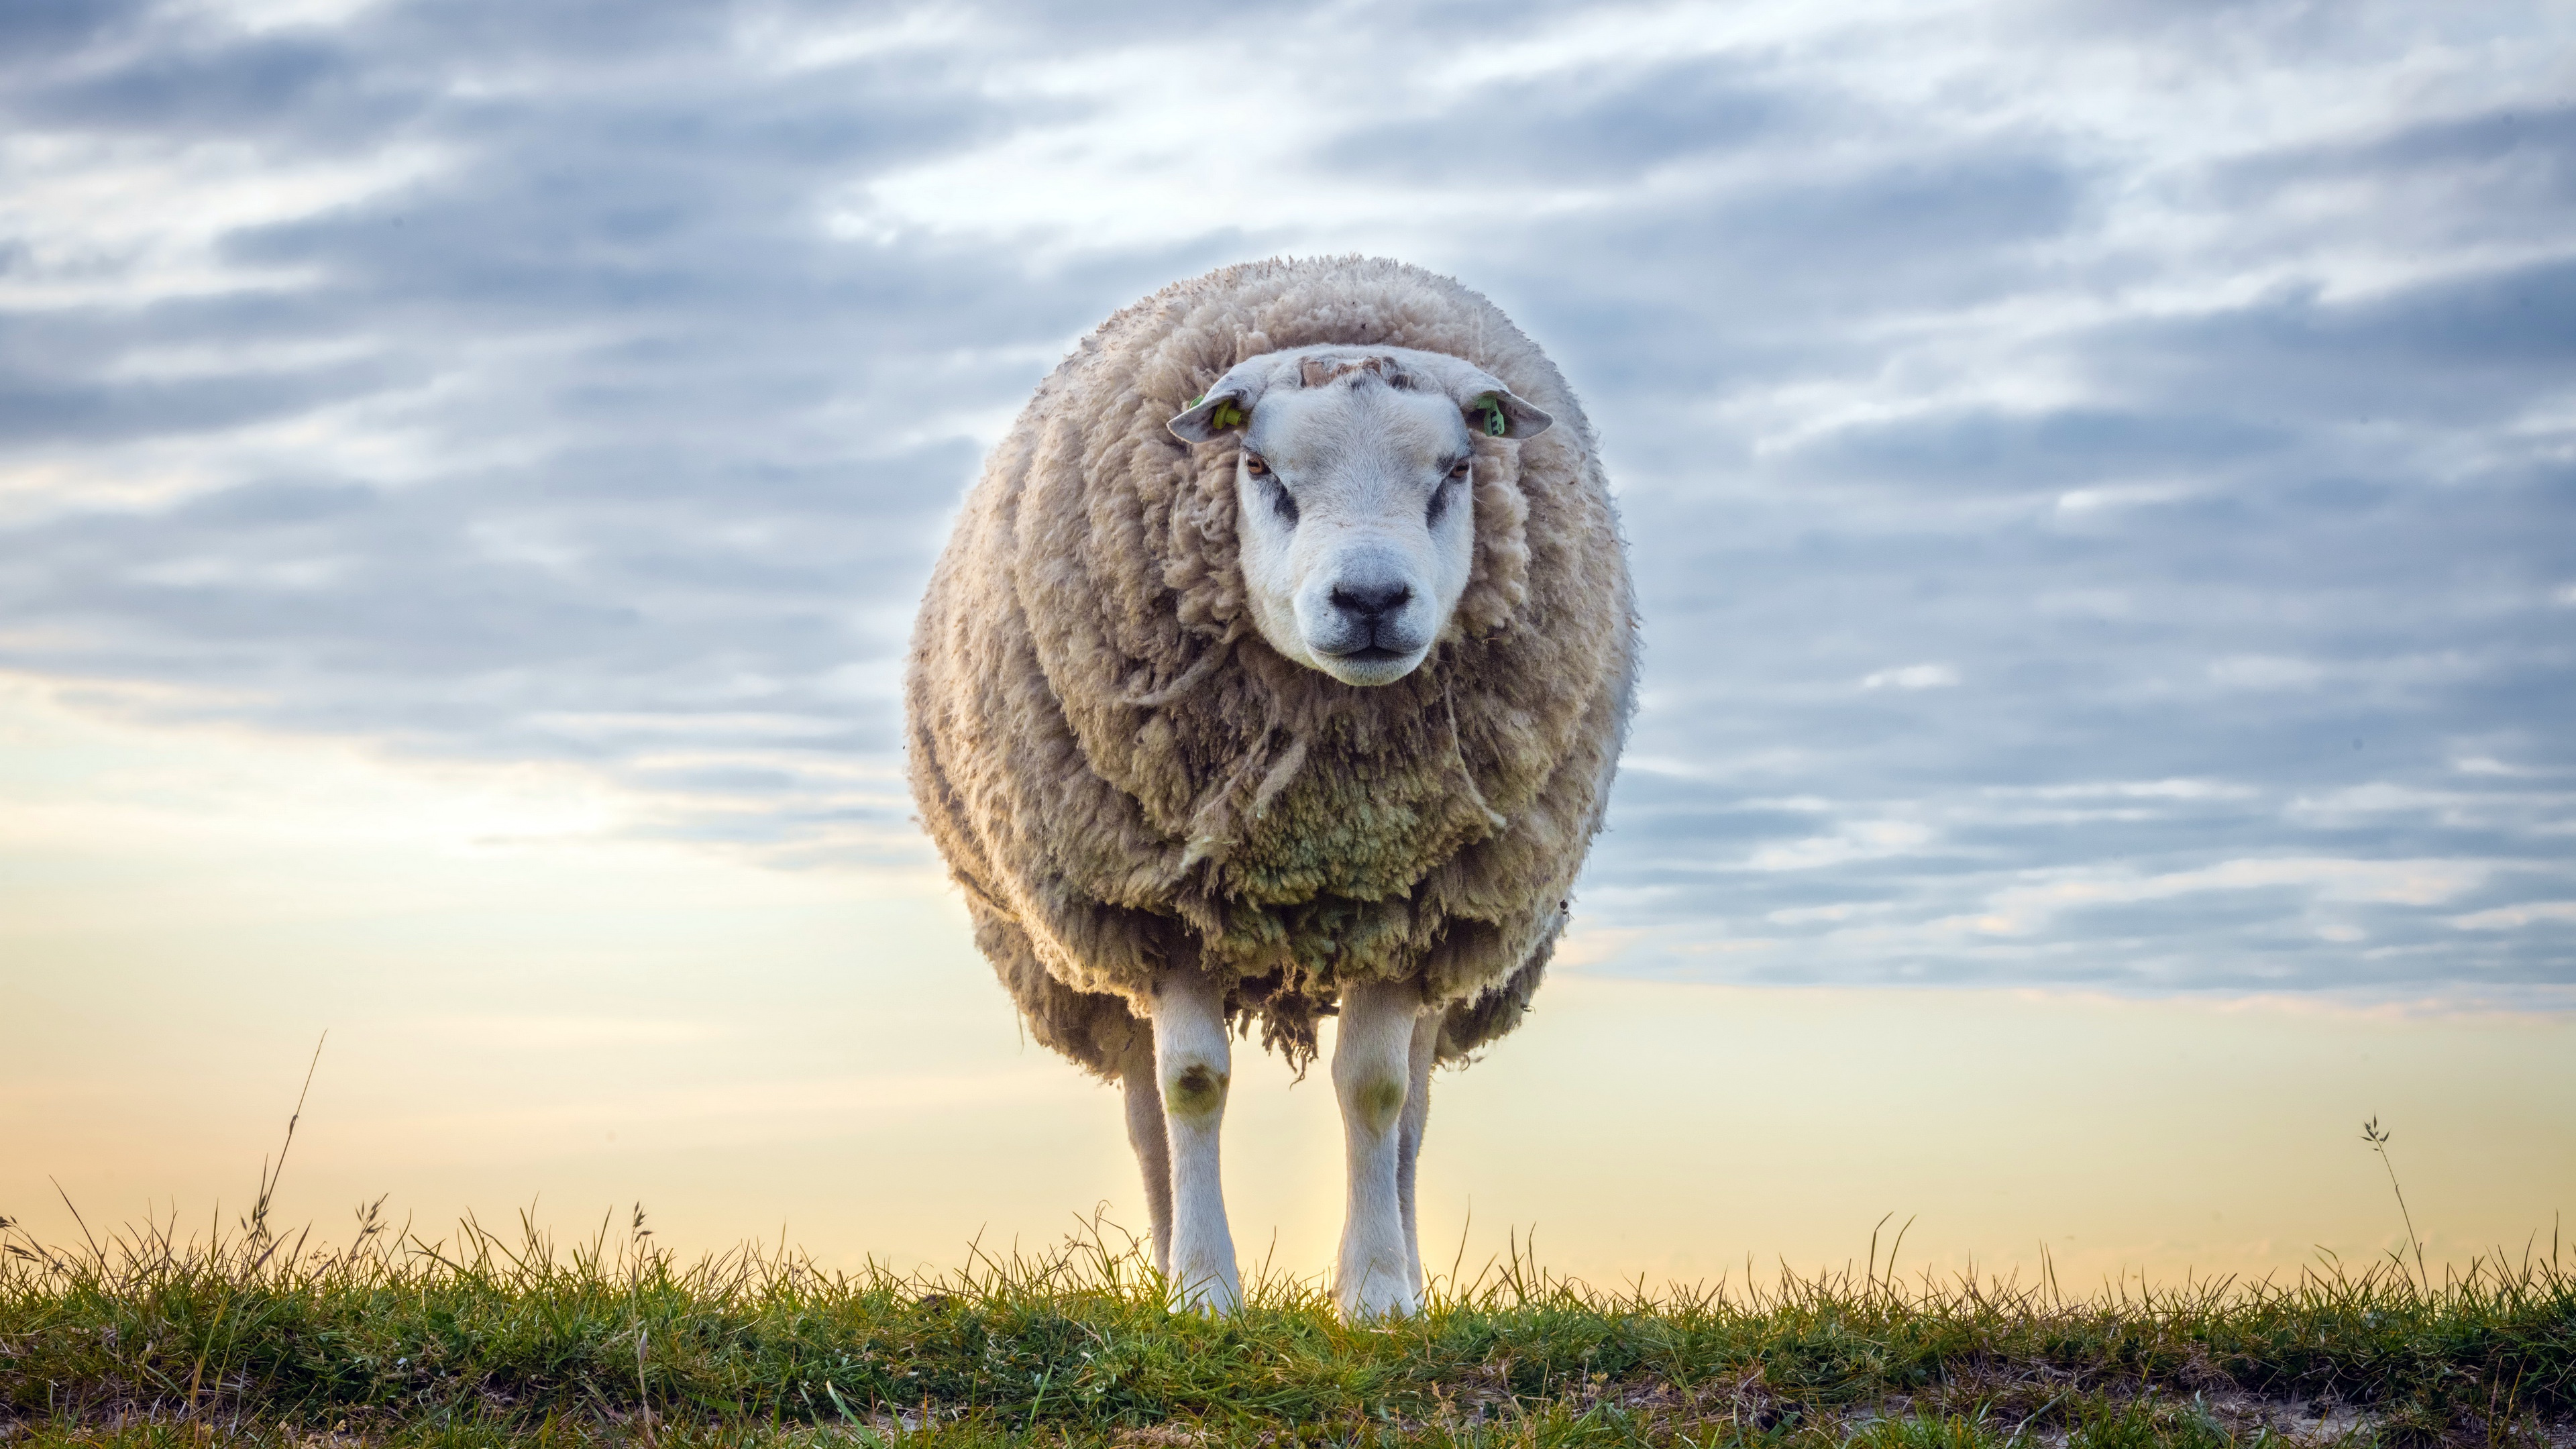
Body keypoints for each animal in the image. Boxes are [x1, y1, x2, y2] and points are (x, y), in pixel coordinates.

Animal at [904, 256, 1634, 1319]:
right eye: (1260, 470)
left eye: (1456, 469)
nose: (1370, 600)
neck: (1322, 824)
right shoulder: (1157, 901)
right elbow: (1191, 1086)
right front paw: (1204, 1290)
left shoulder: (1405, 902)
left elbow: (1375, 1091)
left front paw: (1376, 1296)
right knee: (1145, 1113)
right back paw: (1167, 1255)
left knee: (1413, 1109)